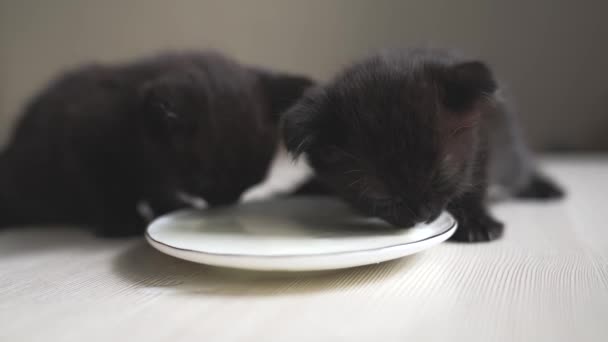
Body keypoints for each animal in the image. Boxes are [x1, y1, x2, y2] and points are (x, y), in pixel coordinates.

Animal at [0, 51, 314, 238]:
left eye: (253, 182)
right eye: (206, 181)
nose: (227, 203)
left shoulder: (155, 169)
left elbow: (155, 187)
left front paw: (168, 205)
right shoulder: (80, 144)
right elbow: (103, 188)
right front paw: (122, 220)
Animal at [282, 48, 564, 243]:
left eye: (440, 176)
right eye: (380, 195)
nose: (421, 214)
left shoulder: (483, 140)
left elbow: (474, 183)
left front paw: (475, 220)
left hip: (512, 155)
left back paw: (544, 187)